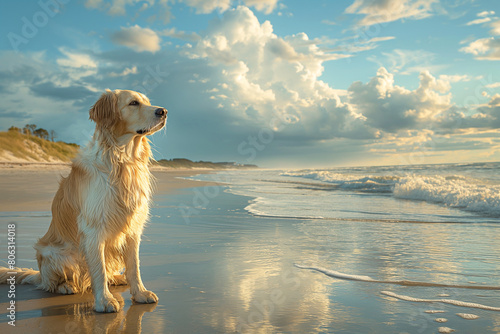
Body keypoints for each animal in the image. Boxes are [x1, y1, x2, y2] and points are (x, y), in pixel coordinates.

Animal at [0, 89, 168, 314]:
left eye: (148, 102)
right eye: (133, 103)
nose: (164, 111)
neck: (122, 160)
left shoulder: (133, 226)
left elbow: (134, 266)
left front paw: (140, 293)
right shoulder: (93, 228)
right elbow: (99, 269)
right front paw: (104, 301)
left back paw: (117, 278)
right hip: (53, 252)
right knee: (51, 283)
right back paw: (66, 286)